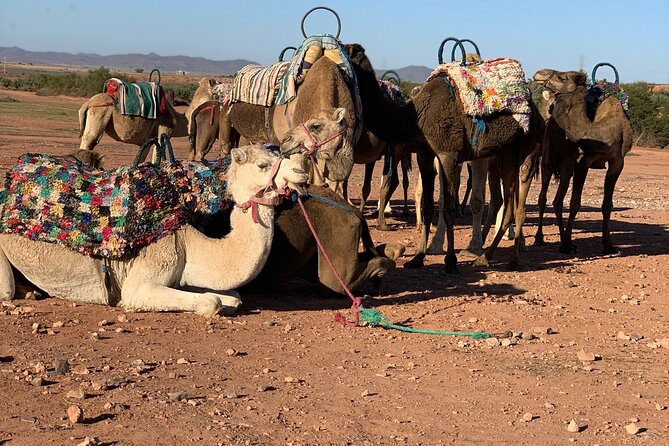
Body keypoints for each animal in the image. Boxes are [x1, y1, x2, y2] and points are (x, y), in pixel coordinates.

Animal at [0, 145, 308, 316]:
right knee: (5, 291)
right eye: (263, 164)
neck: (187, 242)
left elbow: (232, 298)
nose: (301, 172)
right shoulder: (138, 285)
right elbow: (212, 302)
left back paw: (32, 290)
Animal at [344, 42, 544, 272]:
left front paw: (450, 261)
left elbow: (448, 208)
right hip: (504, 155)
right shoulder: (425, 154)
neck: (415, 116)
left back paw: (505, 258)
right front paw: (418, 257)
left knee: (515, 207)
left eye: (345, 51)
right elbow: (429, 205)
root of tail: (538, 114)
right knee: (506, 204)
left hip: (522, 153)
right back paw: (488, 256)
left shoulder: (448, 154)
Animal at [532, 67, 632, 253]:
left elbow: (607, 204)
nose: (539, 73)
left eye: (562, 77)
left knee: (558, 199)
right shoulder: (582, 161)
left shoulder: (617, 162)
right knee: (543, 197)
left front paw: (608, 245)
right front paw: (565, 245)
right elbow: (575, 203)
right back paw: (540, 238)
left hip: (566, 165)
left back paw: (566, 240)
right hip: (548, 160)